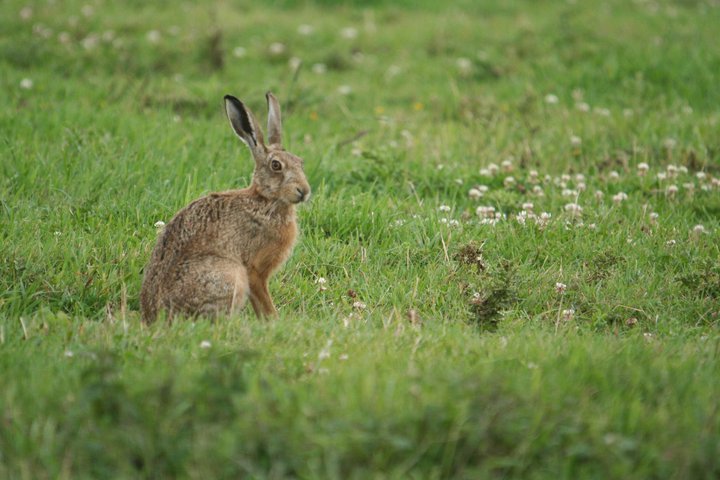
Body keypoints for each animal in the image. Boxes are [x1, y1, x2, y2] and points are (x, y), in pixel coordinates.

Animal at [140, 92, 311, 323]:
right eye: (276, 165)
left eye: (300, 162)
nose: (304, 191)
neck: (266, 200)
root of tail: (154, 316)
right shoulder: (254, 270)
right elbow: (263, 299)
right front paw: (274, 320)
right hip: (229, 276)